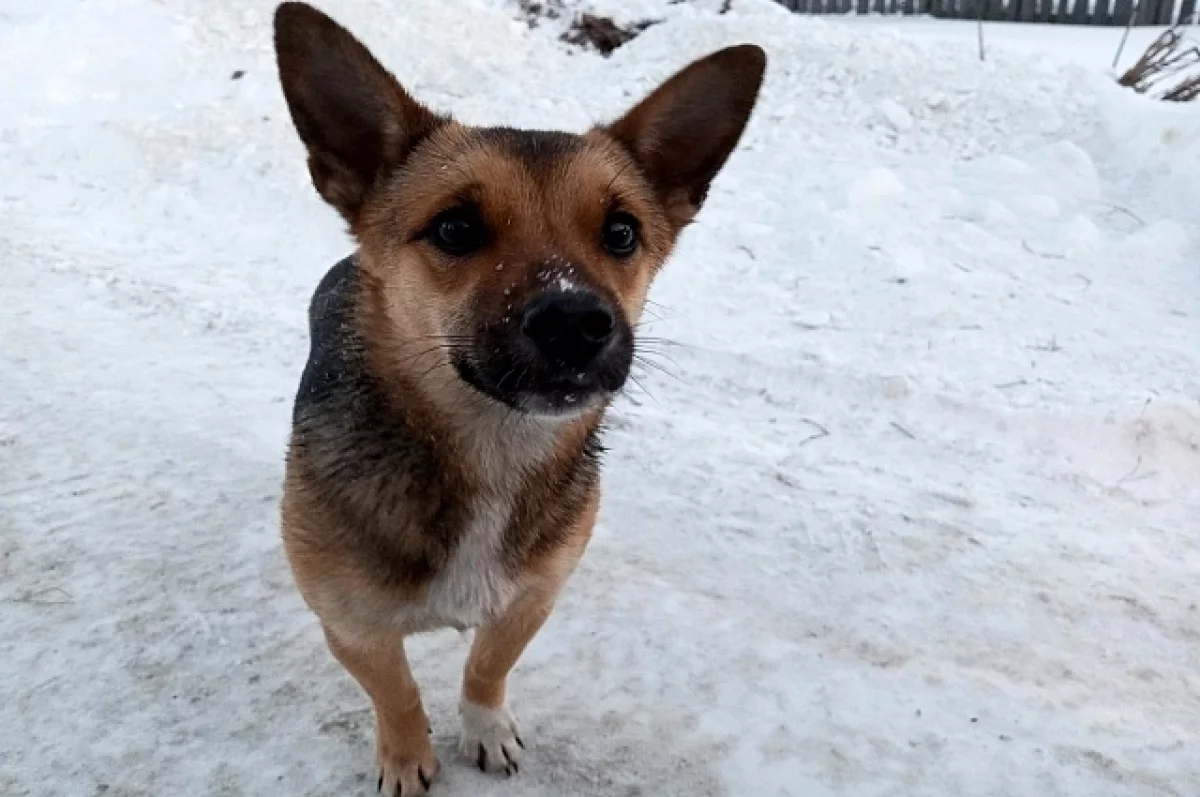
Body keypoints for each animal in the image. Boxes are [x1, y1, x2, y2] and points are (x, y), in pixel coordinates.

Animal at [272, 3, 763, 792]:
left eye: (621, 232)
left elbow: (485, 666)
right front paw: (407, 756)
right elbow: (397, 691)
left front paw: (485, 727)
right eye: (455, 227)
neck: (493, 449)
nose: (575, 321)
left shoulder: (532, 598)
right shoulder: (352, 626)